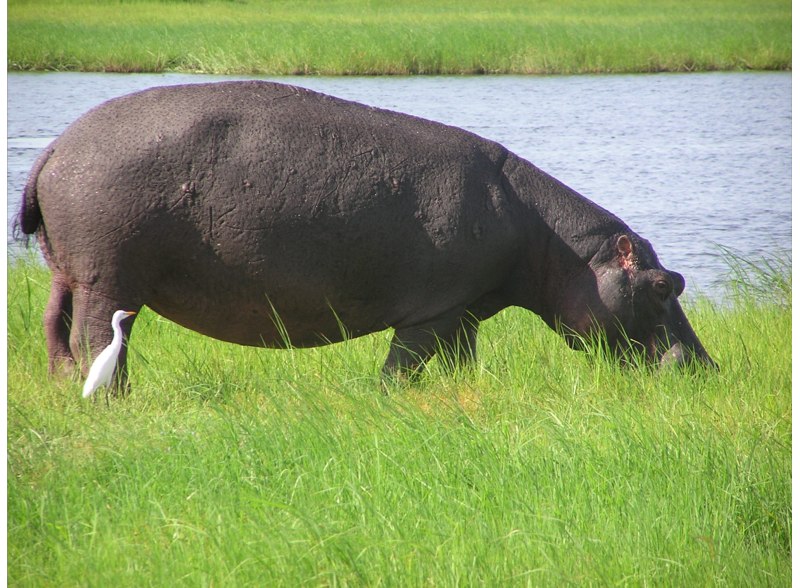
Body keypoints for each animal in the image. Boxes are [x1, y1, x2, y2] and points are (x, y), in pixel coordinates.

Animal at [17, 81, 714, 390]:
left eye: (681, 279)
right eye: (663, 285)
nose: (705, 367)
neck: (559, 247)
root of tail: (56, 148)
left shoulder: (465, 310)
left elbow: (459, 364)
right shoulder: (433, 311)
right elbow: (402, 367)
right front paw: (390, 398)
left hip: (68, 270)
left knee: (54, 327)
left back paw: (62, 389)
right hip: (109, 275)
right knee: (95, 337)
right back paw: (114, 399)